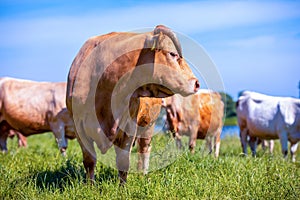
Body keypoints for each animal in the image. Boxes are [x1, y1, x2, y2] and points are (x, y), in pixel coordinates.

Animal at [67, 25, 200, 184]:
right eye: (173, 54)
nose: (197, 83)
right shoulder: (79, 127)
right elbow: (89, 161)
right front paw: (90, 186)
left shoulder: (129, 127)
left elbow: (123, 162)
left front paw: (123, 187)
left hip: (148, 125)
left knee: (144, 149)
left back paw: (143, 175)